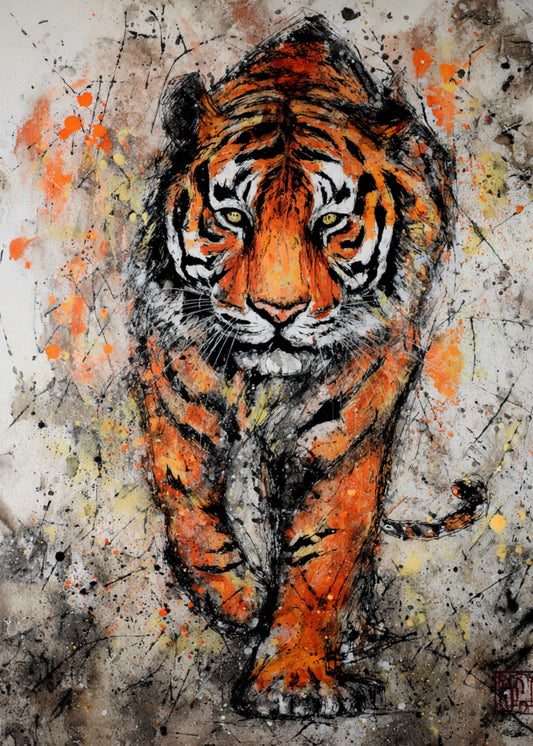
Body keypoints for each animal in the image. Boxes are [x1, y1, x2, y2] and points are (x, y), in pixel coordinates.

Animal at [130, 16, 488, 718]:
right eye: (232, 216)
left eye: (330, 222)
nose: (279, 310)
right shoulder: (173, 382)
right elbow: (188, 503)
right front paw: (240, 600)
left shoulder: (346, 428)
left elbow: (324, 548)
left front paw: (291, 678)